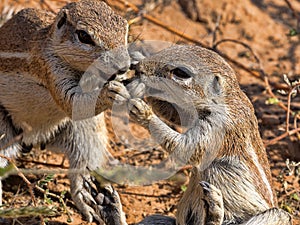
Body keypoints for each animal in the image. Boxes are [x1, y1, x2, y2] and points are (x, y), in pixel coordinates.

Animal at [0, 0, 131, 222]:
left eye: (125, 28)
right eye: (84, 36)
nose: (124, 67)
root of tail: (35, 140)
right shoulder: (51, 70)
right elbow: (73, 102)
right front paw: (111, 93)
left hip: (86, 129)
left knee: (82, 163)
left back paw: (99, 198)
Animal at [100, 45, 290, 225]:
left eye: (180, 73)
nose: (139, 68)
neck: (224, 101)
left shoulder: (218, 127)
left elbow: (187, 148)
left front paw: (142, 111)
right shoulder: (187, 112)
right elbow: (171, 112)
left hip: (276, 216)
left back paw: (214, 212)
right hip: (157, 220)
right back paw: (111, 207)